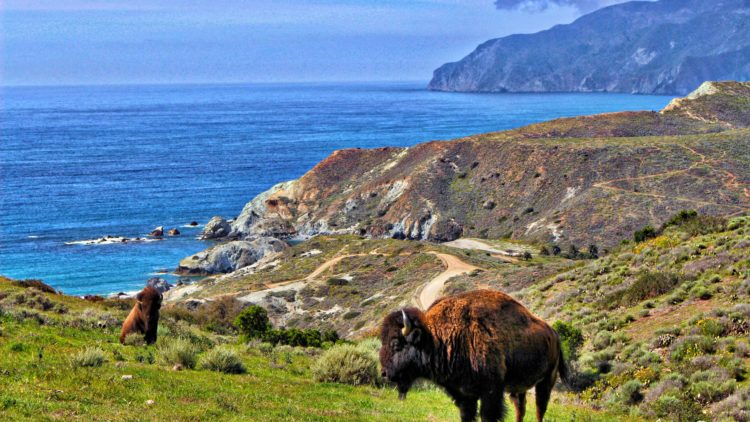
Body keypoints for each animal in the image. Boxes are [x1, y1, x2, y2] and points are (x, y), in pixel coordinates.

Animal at [379, 290, 568, 422]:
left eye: (396, 344)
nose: (384, 373)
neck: (438, 337)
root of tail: (554, 334)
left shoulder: (491, 392)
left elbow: (487, 416)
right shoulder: (463, 395)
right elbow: (467, 415)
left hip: (546, 381)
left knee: (540, 408)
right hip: (519, 388)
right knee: (521, 409)